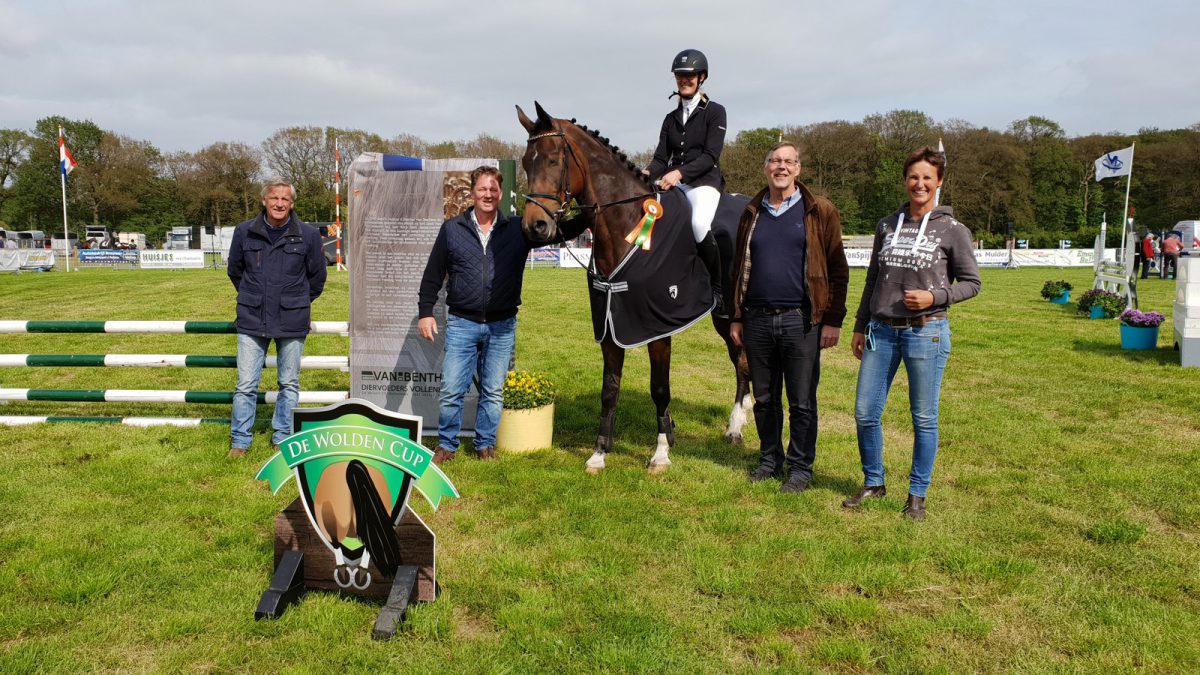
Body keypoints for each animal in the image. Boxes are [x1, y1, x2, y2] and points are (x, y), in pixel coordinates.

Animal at [516, 100, 748, 473]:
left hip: (732, 315)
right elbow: (609, 388)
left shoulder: (658, 328)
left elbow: (659, 389)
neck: (627, 225)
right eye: (525, 162)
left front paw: (661, 452)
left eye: (553, 159)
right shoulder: (610, 322)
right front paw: (599, 453)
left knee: (742, 362)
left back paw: (736, 426)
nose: (535, 227)